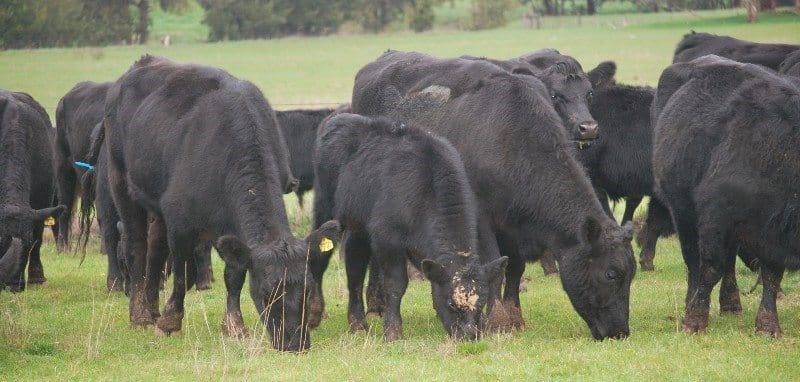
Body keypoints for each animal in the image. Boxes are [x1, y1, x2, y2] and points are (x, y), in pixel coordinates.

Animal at [92, 55, 340, 350]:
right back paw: (140, 314)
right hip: (122, 185)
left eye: (307, 288)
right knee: (136, 247)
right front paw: (170, 322)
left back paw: (152, 309)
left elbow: (234, 275)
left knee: (155, 249)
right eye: (268, 293)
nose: (295, 342)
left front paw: (234, 325)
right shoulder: (180, 222)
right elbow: (183, 273)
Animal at [312, 112, 506, 340]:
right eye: (451, 303)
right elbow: (395, 284)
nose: (469, 336)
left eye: (481, 303)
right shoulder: (387, 240)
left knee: (355, 266)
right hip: (325, 211)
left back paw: (357, 322)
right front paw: (393, 330)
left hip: (358, 227)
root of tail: (338, 118)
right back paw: (315, 311)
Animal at [350, 50, 636, 340]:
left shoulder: (516, 226)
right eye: (611, 273)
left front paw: (515, 317)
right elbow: (494, 268)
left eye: (590, 94)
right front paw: (497, 320)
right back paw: (376, 307)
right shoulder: (481, 218)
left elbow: (515, 269)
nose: (620, 330)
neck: (511, 141)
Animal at [652, 55, 796, 336]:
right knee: (693, 261)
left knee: (728, 262)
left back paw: (731, 303)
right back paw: (692, 302)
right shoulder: (715, 216)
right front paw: (695, 320)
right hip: (683, 211)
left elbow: (772, 275)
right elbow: (710, 268)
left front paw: (768, 325)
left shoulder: (773, 234)